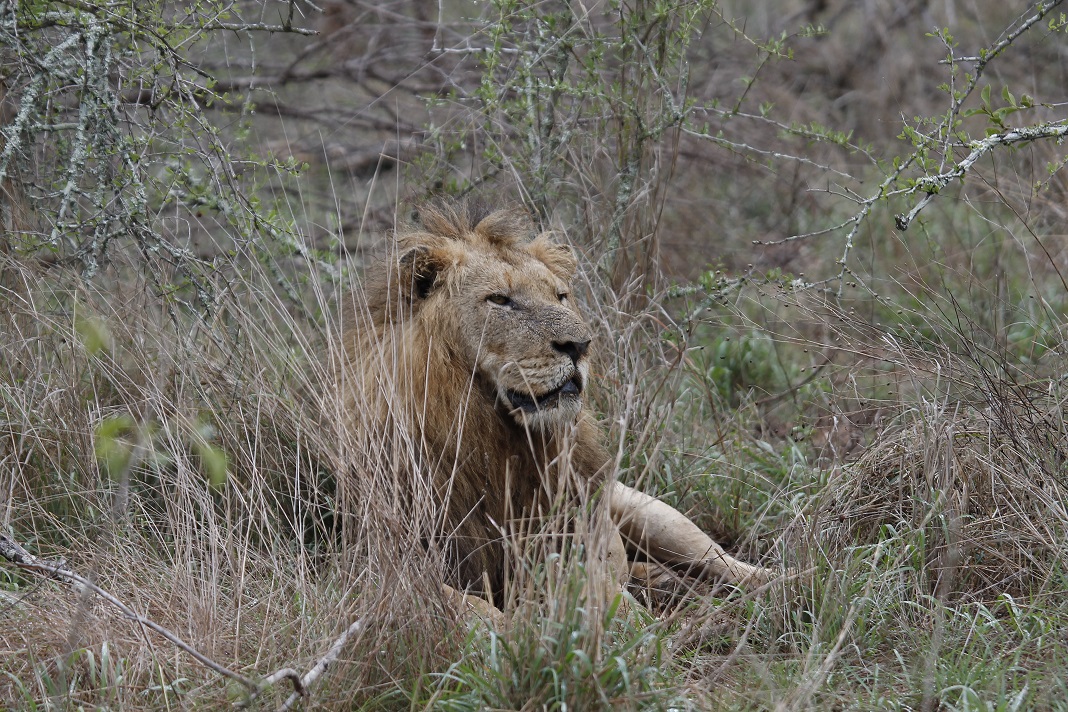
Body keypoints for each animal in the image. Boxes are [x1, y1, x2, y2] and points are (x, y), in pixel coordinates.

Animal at [339, 199, 768, 614]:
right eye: (500, 300)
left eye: (560, 296)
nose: (580, 345)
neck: (494, 439)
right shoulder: (381, 566)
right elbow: (472, 610)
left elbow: (599, 591)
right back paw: (665, 583)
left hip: (648, 512)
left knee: (721, 559)